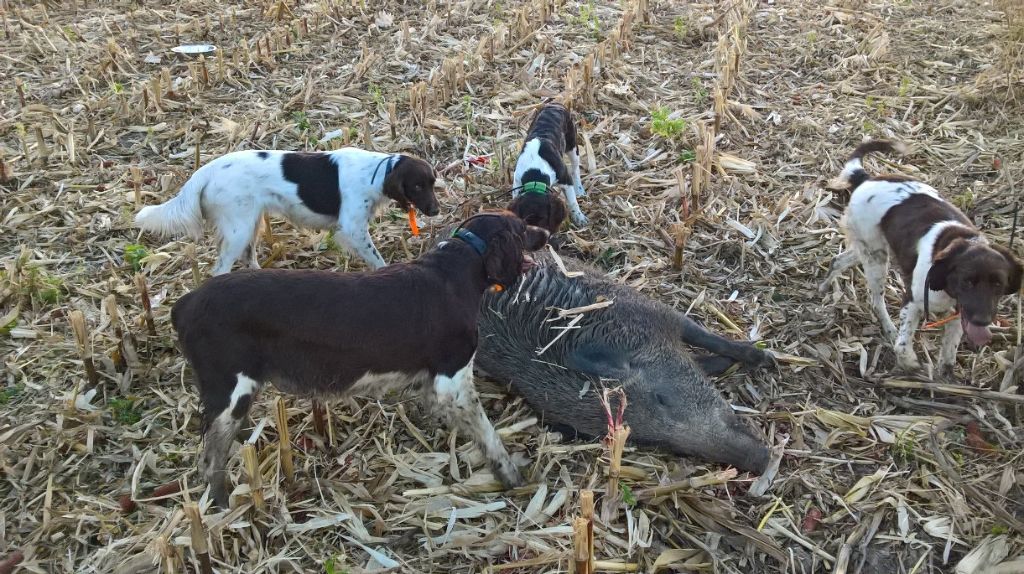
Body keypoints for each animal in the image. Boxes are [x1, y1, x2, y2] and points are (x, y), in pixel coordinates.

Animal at [136, 146, 440, 274]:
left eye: (432, 183)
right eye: (416, 186)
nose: (436, 210)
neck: (375, 173)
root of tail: (205, 171)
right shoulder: (352, 229)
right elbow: (377, 260)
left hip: (252, 223)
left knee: (248, 257)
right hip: (238, 229)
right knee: (221, 268)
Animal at [172, 210, 548, 505]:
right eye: (521, 229)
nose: (545, 233)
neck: (457, 269)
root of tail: (185, 304)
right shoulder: (453, 379)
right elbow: (488, 435)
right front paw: (511, 477)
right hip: (230, 393)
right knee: (210, 461)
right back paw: (227, 508)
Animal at [819, 139, 1019, 376]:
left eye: (998, 284)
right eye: (967, 282)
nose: (983, 321)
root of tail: (865, 178)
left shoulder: (960, 315)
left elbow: (949, 354)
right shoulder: (913, 301)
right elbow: (903, 346)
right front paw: (911, 364)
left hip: (872, 249)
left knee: (838, 260)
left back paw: (824, 286)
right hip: (876, 260)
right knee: (876, 301)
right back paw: (889, 329)